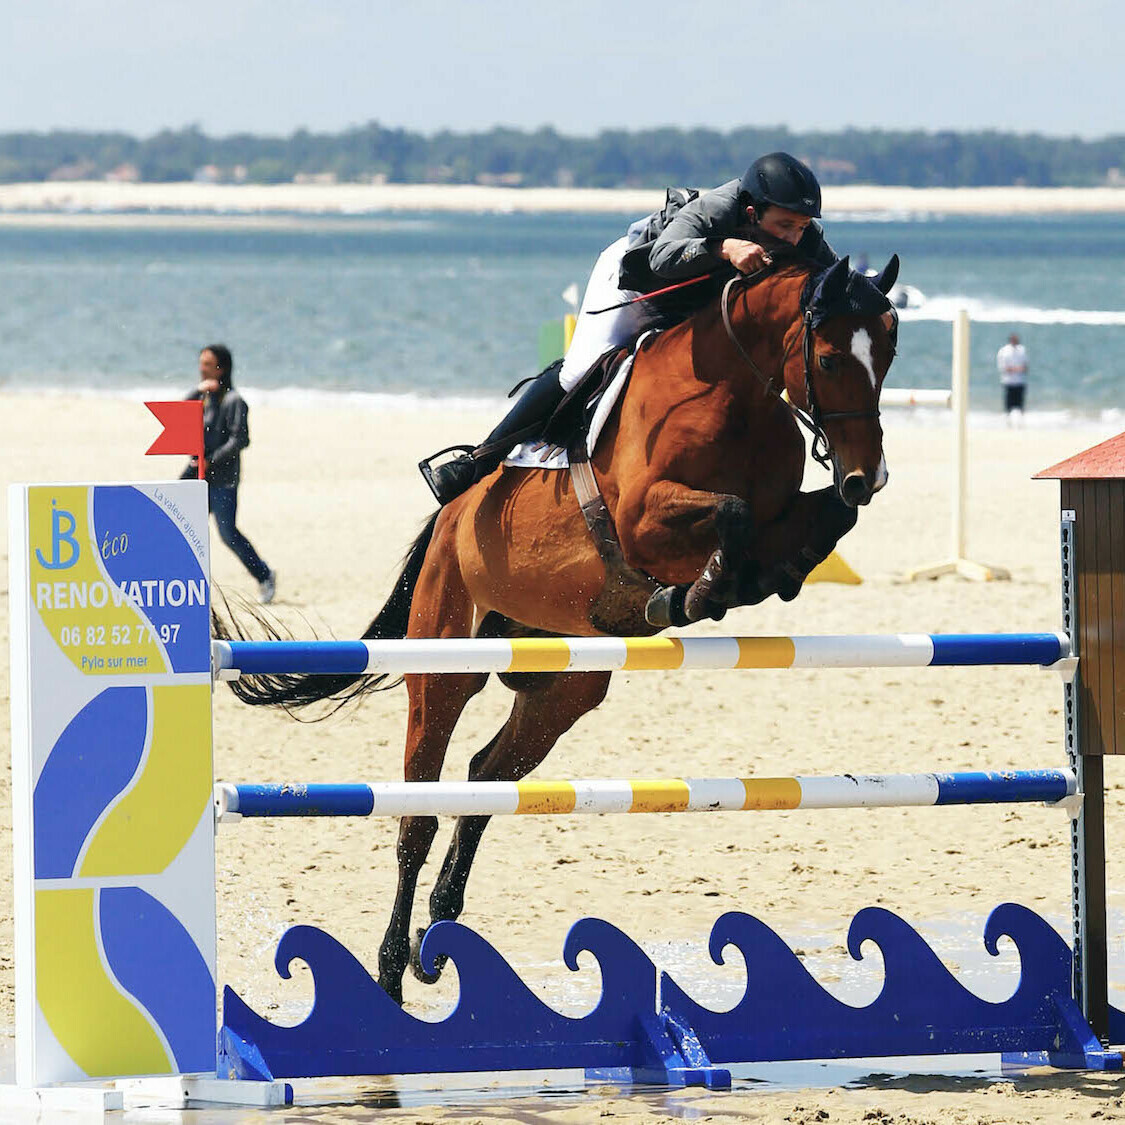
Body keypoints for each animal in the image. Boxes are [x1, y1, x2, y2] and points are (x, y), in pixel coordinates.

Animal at [219, 255, 900, 1003]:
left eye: (890, 352)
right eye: (831, 358)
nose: (867, 476)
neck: (736, 389)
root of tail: (450, 519)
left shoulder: (785, 509)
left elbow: (816, 521)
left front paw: (757, 576)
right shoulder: (641, 519)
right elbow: (731, 512)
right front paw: (696, 590)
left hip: (564, 689)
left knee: (487, 776)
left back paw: (437, 932)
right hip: (444, 665)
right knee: (417, 814)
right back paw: (394, 968)